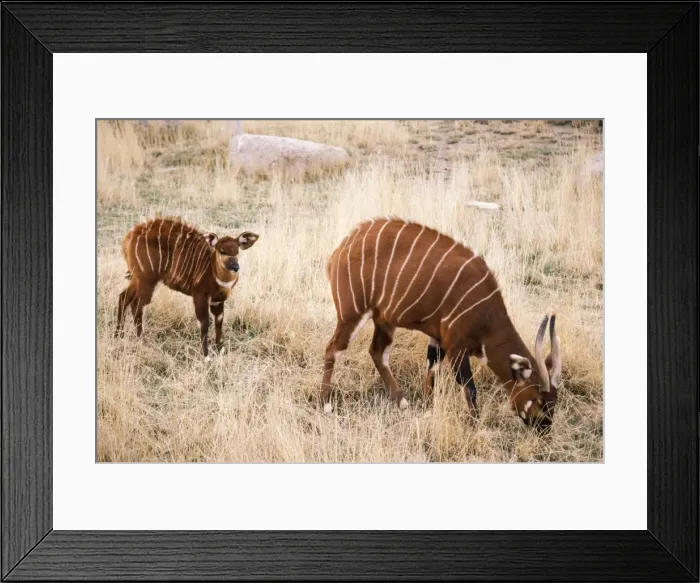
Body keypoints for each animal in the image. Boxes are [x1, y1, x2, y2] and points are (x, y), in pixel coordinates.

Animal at [115, 217, 259, 359]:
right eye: (222, 251)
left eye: (237, 251)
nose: (235, 267)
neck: (213, 271)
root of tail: (129, 237)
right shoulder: (200, 295)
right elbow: (204, 322)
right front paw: (206, 356)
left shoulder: (217, 300)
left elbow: (219, 321)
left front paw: (220, 350)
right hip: (147, 279)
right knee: (137, 304)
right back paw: (140, 339)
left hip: (139, 278)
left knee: (124, 296)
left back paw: (119, 334)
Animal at [319, 217, 562, 430]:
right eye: (539, 400)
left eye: (555, 402)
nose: (544, 429)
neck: (487, 317)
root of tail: (340, 249)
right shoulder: (456, 346)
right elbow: (469, 387)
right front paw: (475, 425)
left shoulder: (438, 338)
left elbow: (432, 369)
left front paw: (428, 409)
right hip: (352, 314)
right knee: (333, 348)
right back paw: (326, 404)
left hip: (384, 320)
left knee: (377, 352)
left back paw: (401, 401)